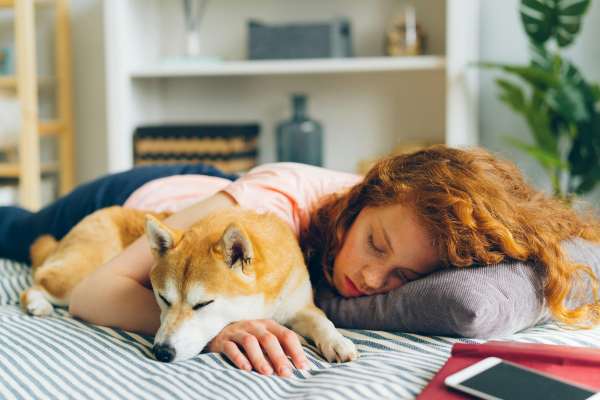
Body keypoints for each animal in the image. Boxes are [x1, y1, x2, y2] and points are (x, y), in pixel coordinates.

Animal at [21, 206, 358, 366]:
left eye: (203, 304)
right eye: (163, 298)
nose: (161, 352)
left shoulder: (300, 306)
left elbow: (322, 321)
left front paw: (338, 342)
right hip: (77, 276)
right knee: (38, 280)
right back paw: (37, 303)